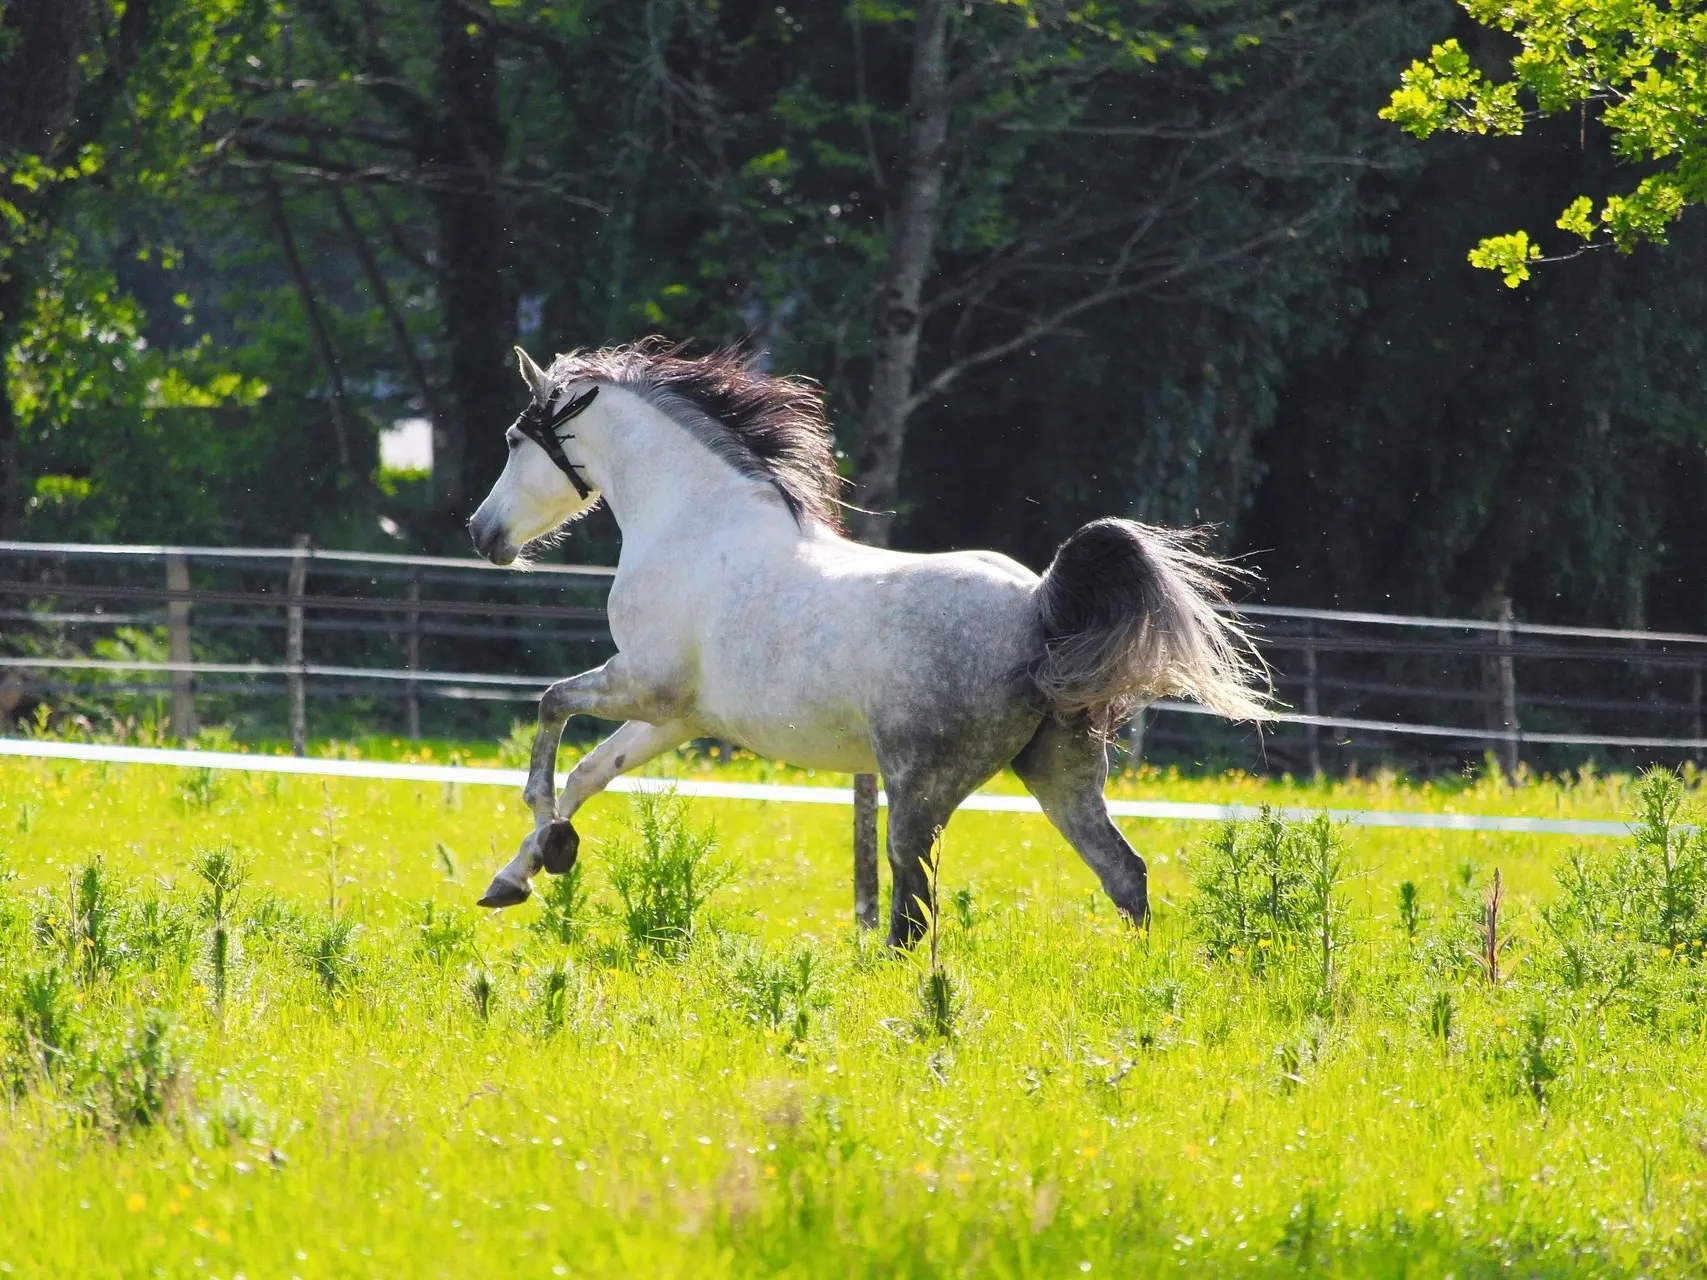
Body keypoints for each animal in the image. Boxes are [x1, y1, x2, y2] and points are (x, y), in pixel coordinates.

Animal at [467, 336, 1270, 948]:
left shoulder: (642, 681)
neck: (693, 521)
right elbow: (588, 774)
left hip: (919, 787)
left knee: (912, 910)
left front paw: (547, 852)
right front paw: (518, 874)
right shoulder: (676, 716)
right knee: (1121, 871)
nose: (481, 534)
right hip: (1059, 772)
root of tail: (1041, 606)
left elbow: (550, 711)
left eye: (511, 440)